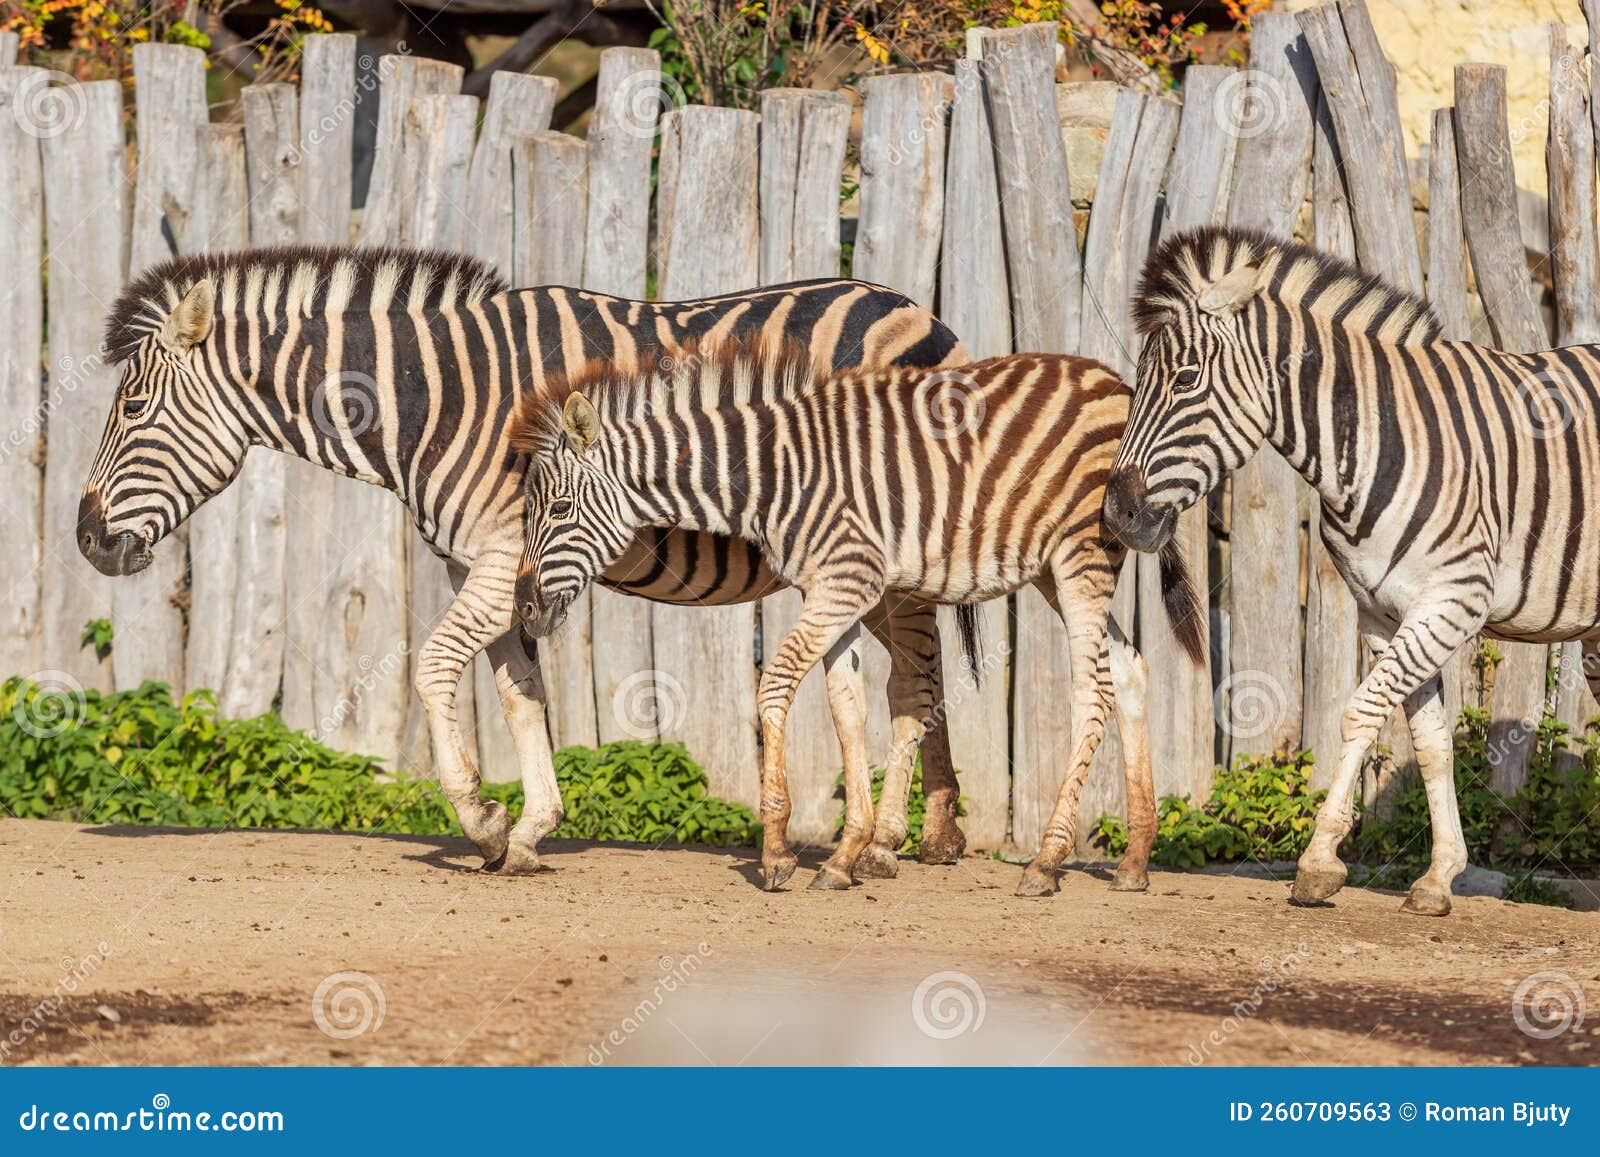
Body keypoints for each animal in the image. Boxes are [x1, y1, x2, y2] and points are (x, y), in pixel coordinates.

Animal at [75, 245, 974, 876]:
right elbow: (517, 691)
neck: (431, 397)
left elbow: (435, 666)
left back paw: (891, 841)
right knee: (910, 680)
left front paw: (481, 818)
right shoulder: (484, 564)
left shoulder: (502, 553)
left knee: (915, 682)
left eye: (134, 407)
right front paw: (531, 828)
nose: (84, 538)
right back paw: (936, 832)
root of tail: (920, 312)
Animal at [508, 341, 1206, 894]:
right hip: (1052, 573)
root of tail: (1117, 383)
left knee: (1093, 689)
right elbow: (846, 709)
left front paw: (777, 853)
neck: (773, 477)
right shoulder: (831, 588)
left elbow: (774, 685)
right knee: (1130, 669)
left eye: (561, 509)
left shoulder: (848, 580)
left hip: (1081, 559)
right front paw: (847, 855)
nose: (526, 608)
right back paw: (1135, 860)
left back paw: (1047, 861)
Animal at [1105, 222, 1600, 917]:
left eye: (1186, 380)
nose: (1117, 514)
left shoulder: (1452, 600)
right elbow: (1430, 741)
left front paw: (1318, 862)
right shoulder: (1384, 612)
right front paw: (1439, 876)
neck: (1372, 441)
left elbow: (1361, 712)